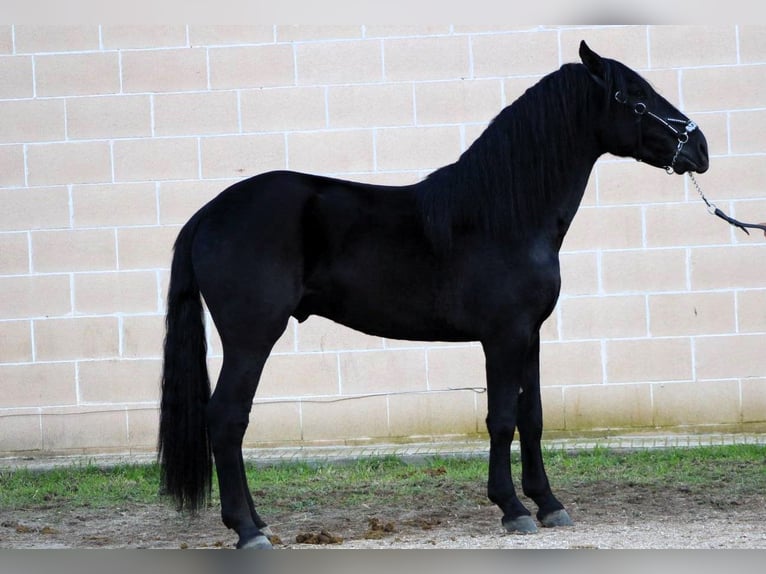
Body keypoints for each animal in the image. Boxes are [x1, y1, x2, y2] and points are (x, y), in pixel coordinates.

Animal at [159, 41, 712, 548]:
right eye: (633, 96)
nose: (700, 149)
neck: (503, 216)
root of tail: (208, 214)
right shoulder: (503, 337)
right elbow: (501, 419)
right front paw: (512, 509)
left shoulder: (530, 336)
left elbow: (532, 417)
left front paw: (550, 504)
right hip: (252, 338)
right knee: (226, 419)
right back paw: (247, 530)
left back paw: (259, 522)